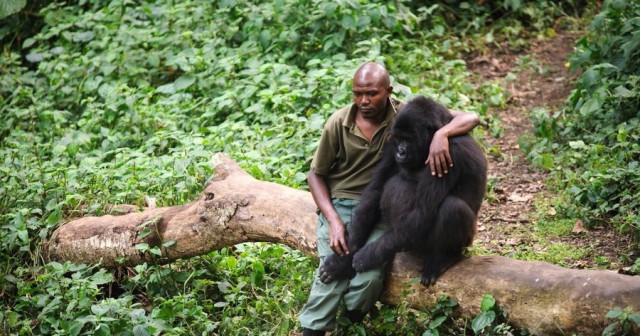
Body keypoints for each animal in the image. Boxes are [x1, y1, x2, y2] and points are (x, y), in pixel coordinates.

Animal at [318, 96, 488, 288]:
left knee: (452, 207)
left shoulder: (449, 151)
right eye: (399, 140)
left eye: (408, 140)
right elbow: (376, 189)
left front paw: (366, 257)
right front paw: (344, 261)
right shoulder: (390, 142)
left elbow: (422, 210)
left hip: (464, 242)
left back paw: (444, 257)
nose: (400, 153)